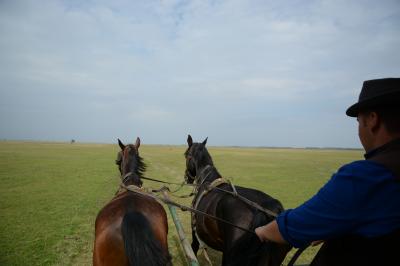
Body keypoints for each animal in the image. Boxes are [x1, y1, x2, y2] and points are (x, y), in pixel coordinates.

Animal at [184, 135, 290, 266]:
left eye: (185, 154)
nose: (187, 178)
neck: (208, 181)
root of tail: (267, 208)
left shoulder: (196, 236)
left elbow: (193, 249)